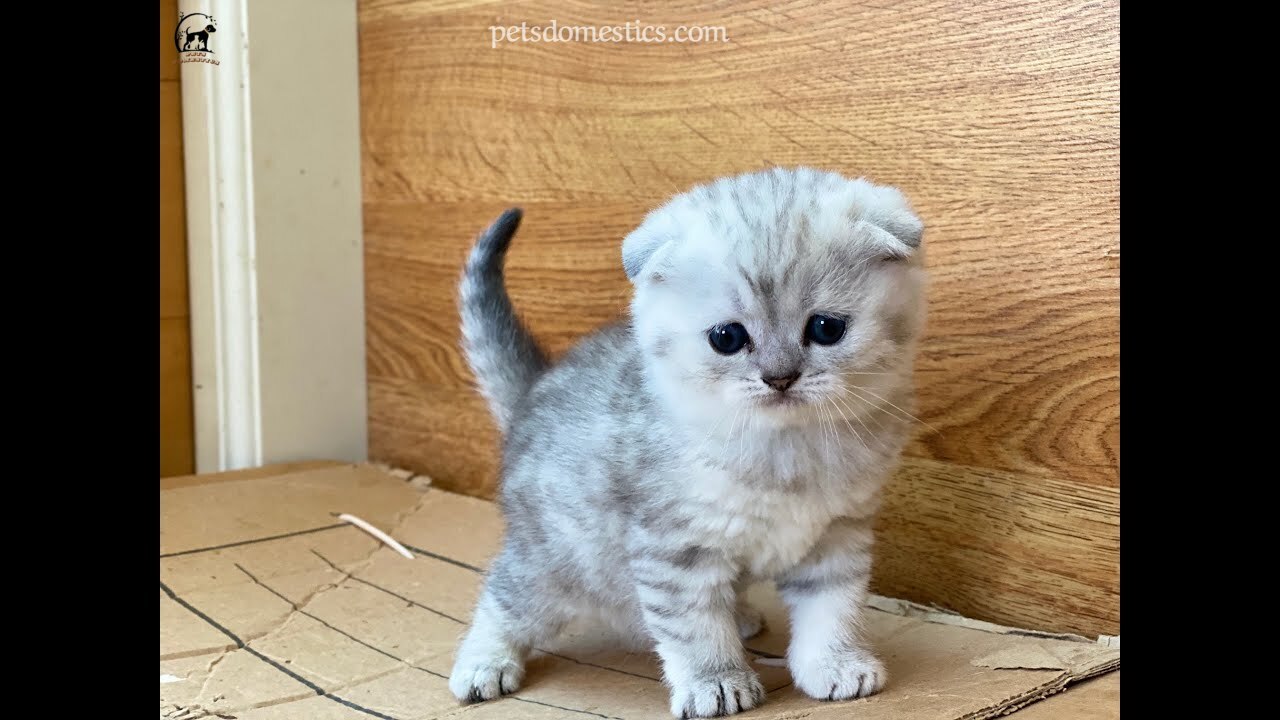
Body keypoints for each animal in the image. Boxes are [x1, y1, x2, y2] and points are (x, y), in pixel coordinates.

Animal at [445, 166, 926, 712]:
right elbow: (694, 628)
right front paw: (715, 682)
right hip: (558, 560)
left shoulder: (836, 537)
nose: (780, 378)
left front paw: (835, 664)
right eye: (727, 338)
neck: (784, 451)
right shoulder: (675, 550)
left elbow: (832, 611)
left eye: (826, 328)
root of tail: (533, 389)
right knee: (503, 596)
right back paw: (483, 663)